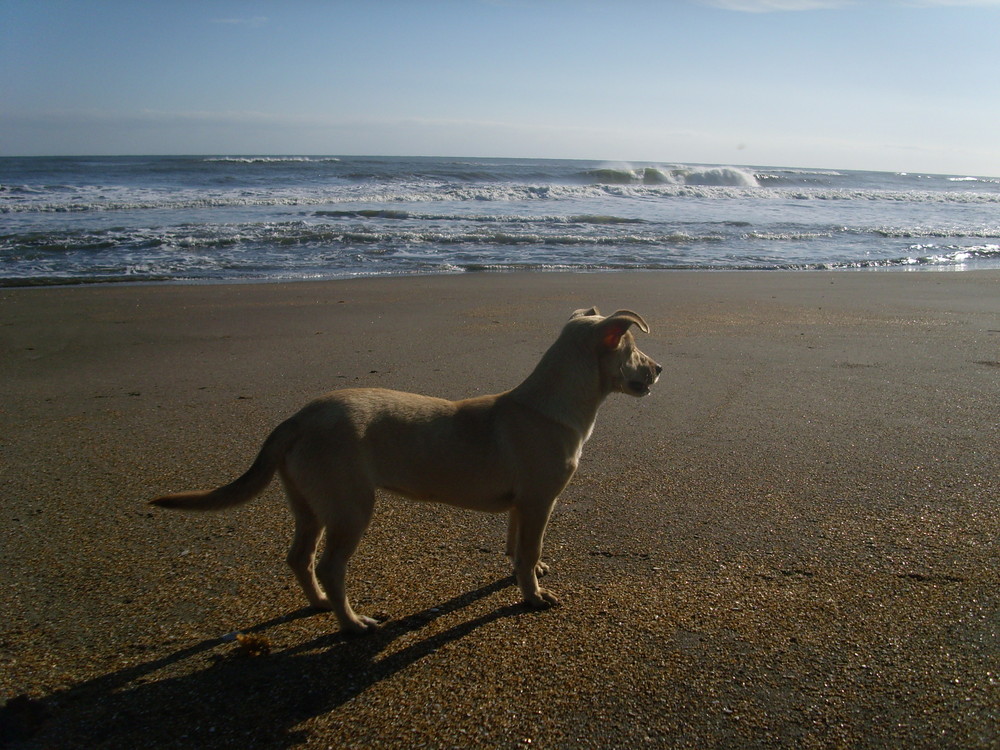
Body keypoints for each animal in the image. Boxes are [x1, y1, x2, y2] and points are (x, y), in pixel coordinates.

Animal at [150, 306, 664, 636]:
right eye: (635, 350)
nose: (660, 369)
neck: (549, 405)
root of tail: (298, 418)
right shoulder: (540, 501)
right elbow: (527, 548)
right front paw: (534, 596)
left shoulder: (521, 505)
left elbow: (517, 547)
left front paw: (528, 574)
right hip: (351, 506)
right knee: (330, 566)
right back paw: (353, 624)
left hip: (309, 501)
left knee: (299, 557)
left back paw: (319, 606)